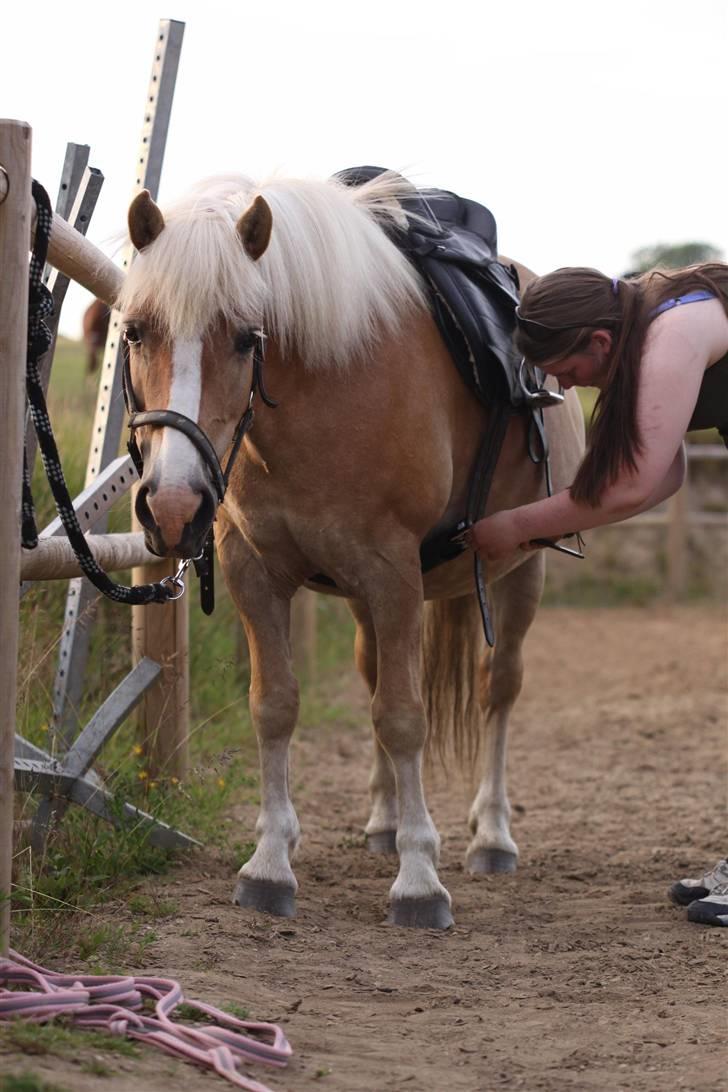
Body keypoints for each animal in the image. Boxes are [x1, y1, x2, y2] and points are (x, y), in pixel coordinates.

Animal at [119, 172, 585, 930]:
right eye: (135, 331)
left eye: (247, 338)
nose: (173, 505)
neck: (325, 393)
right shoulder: (257, 573)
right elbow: (276, 705)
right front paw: (270, 863)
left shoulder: (393, 575)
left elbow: (404, 717)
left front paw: (420, 880)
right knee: (374, 678)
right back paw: (385, 822)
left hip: (521, 570)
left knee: (498, 686)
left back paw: (490, 835)